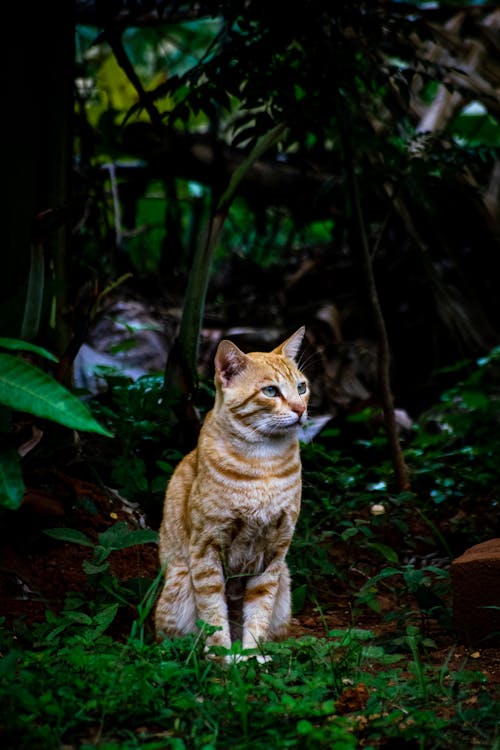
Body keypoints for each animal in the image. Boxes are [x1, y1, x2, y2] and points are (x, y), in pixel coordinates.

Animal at [154, 326, 308, 656]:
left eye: (301, 387)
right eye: (271, 391)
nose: (301, 409)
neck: (264, 464)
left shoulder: (275, 552)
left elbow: (259, 610)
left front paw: (251, 656)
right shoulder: (206, 548)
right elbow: (213, 610)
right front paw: (222, 657)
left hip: (285, 581)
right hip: (180, 580)